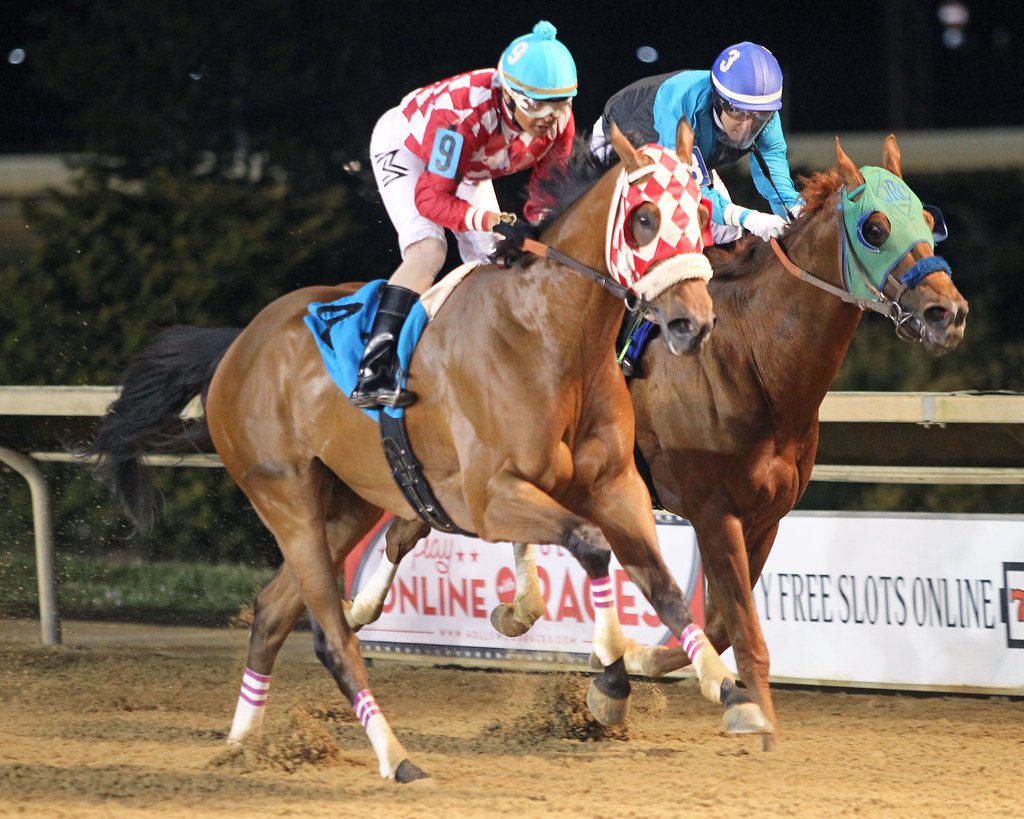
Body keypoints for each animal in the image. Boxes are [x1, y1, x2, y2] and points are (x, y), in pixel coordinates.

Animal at [94, 119, 770, 782]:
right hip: (285, 497)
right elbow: (591, 546)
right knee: (330, 636)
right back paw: (395, 758)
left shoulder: (615, 487)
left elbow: (660, 583)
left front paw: (728, 690)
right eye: (645, 216)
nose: (691, 324)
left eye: (701, 213)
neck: (551, 336)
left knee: (270, 612)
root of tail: (237, 346)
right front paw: (610, 678)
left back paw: (241, 747)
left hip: (348, 504)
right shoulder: (489, 500)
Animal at [337, 133, 966, 749]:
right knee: (407, 528)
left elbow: (719, 621)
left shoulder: (767, 515)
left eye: (926, 218)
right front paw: (749, 713)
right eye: (876, 227)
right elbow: (740, 625)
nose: (949, 312)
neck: (753, 358)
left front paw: (635, 662)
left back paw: (516, 609)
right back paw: (362, 607)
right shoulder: (713, 510)